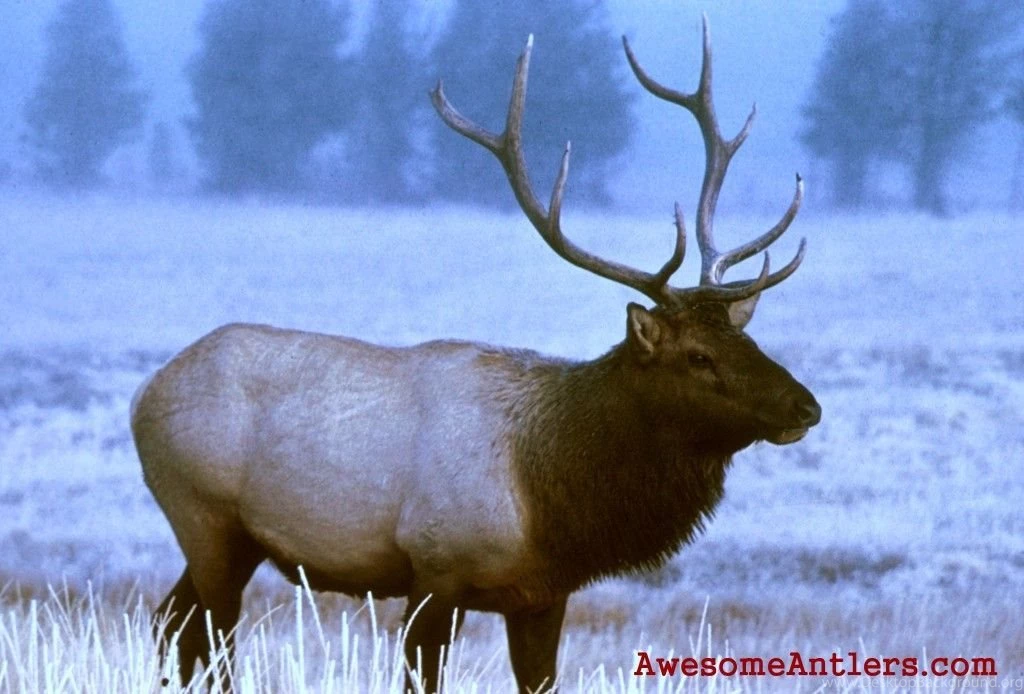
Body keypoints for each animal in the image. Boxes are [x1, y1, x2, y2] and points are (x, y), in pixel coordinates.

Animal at [132, 17, 820, 694]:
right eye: (699, 357)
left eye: (748, 340)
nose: (806, 406)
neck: (551, 499)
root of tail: (144, 394)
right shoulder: (436, 569)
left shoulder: (542, 594)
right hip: (203, 515)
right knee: (213, 638)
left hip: (234, 540)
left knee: (170, 622)